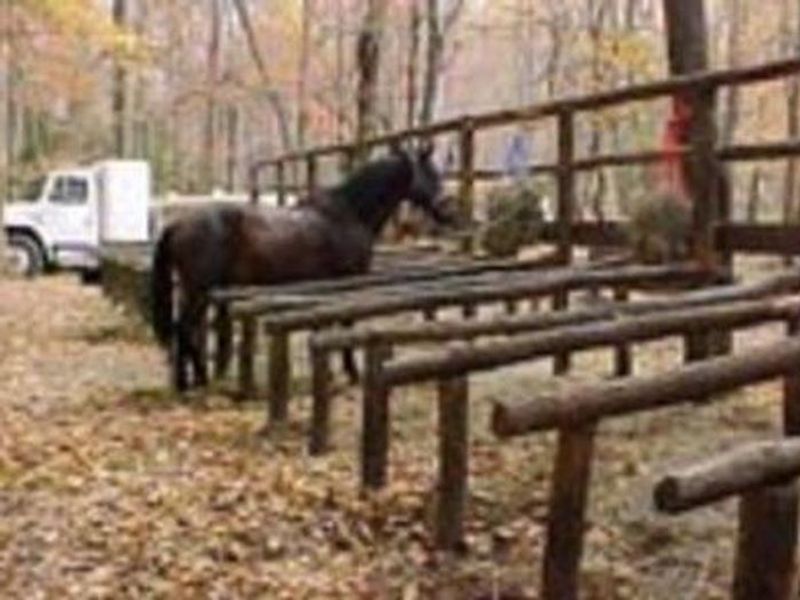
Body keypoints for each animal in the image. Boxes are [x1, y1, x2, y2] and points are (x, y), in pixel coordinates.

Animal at [150, 144, 448, 392]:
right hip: (199, 290)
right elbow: (344, 327)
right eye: (432, 174)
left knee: (185, 330)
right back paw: (195, 381)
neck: (349, 213)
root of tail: (177, 225)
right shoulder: (345, 283)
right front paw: (351, 373)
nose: (447, 212)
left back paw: (190, 381)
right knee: (185, 329)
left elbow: (320, 327)